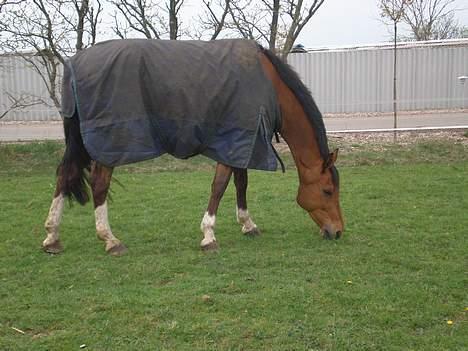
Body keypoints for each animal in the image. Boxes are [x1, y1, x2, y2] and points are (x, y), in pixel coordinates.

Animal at [43, 40, 344, 258]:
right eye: (328, 190)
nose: (338, 231)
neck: (269, 86)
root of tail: (74, 64)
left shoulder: (241, 142)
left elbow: (241, 183)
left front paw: (248, 224)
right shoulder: (232, 142)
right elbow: (220, 187)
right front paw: (209, 235)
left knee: (64, 175)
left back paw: (52, 237)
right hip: (110, 143)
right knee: (99, 184)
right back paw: (110, 239)